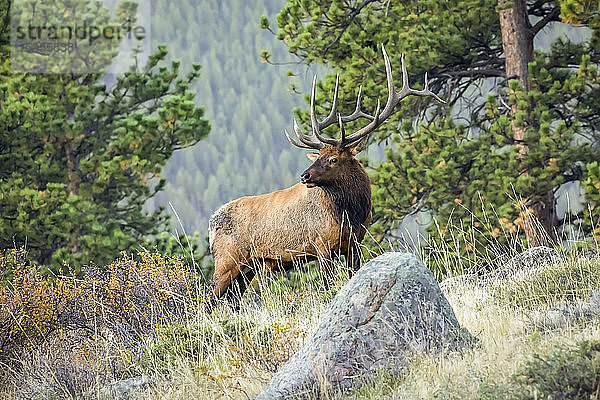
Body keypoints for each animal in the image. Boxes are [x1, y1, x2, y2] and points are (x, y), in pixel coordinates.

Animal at [209, 44, 442, 306]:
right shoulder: (321, 246)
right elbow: (326, 286)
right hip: (227, 261)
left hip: (246, 269)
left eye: (333, 159)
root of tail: (211, 224)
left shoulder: (355, 243)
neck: (351, 214)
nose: (305, 176)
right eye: (317, 157)